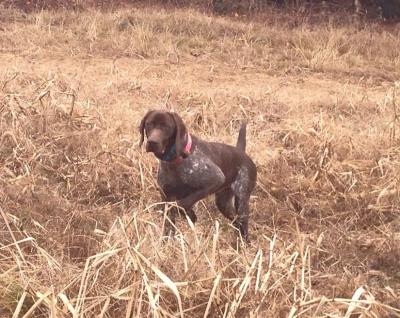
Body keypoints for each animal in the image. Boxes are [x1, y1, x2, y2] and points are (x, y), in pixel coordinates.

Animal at [139, 109, 258, 241]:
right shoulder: (165, 198)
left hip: (242, 202)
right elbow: (168, 226)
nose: (152, 142)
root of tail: (242, 152)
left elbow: (183, 203)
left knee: (243, 225)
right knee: (236, 222)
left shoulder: (215, 180)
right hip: (223, 203)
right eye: (149, 124)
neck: (174, 161)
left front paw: (188, 214)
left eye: (166, 126)